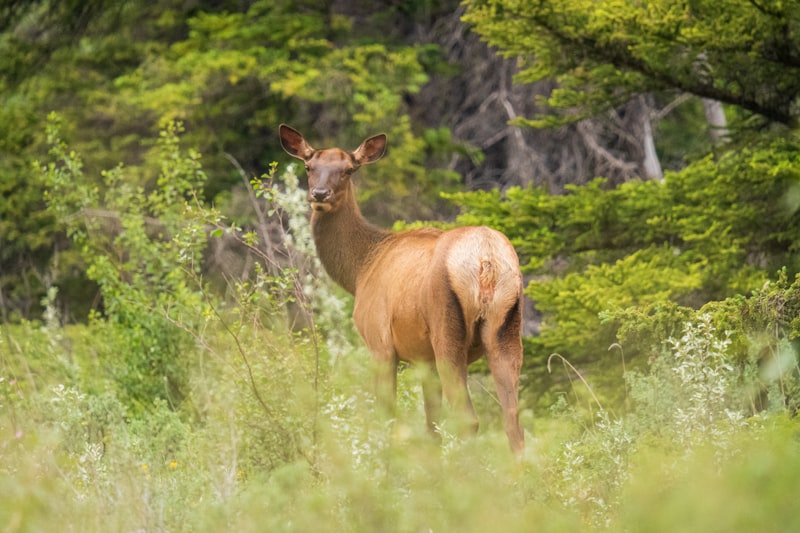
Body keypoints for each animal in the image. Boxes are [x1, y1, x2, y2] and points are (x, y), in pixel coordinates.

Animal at [280, 124, 524, 454]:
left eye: (348, 170)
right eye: (309, 166)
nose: (319, 194)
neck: (360, 269)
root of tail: (486, 260)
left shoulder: (379, 342)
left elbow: (387, 417)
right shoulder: (424, 360)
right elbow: (431, 426)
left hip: (447, 331)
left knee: (468, 419)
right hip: (506, 328)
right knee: (513, 423)